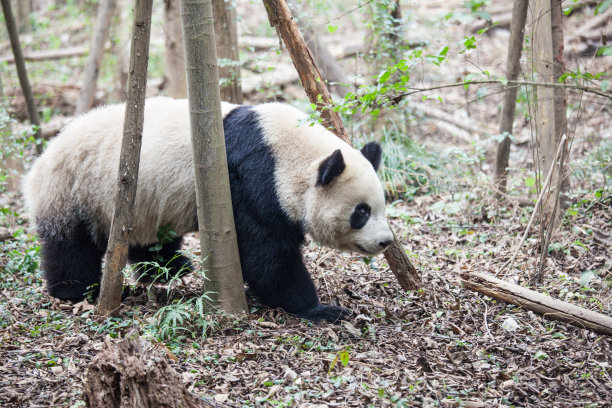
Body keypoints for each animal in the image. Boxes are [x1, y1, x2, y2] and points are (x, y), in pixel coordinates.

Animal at [23, 96, 392, 322]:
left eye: (381, 206)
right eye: (361, 212)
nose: (386, 241)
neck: (287, 151)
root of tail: (42, 158)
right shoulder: (249, 181)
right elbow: (266, 254)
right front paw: (320, 309)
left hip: (144, 201)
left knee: (150, 237)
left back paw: (171, 268)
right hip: (75, 191)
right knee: (71, 246)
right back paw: (76, 291)